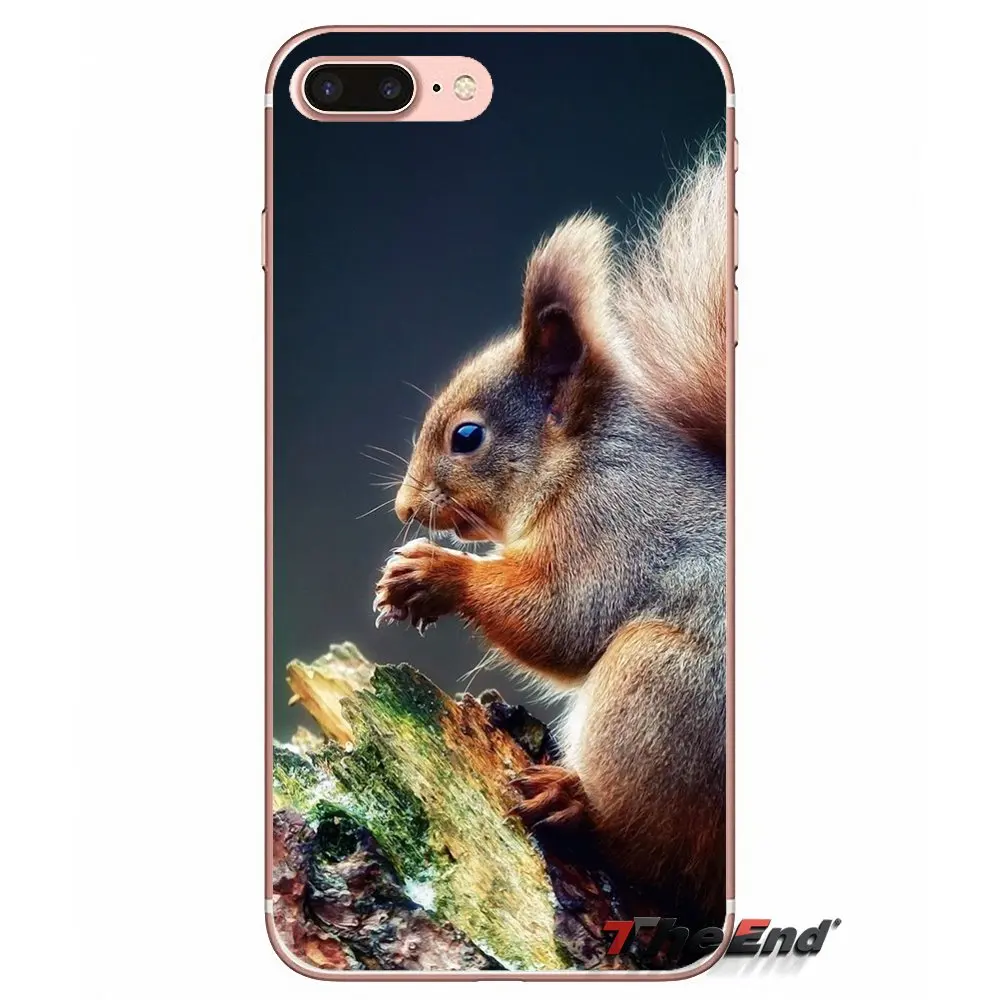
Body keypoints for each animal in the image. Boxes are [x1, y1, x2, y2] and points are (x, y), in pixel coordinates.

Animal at [373, 154, 728, 926]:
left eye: (467, 436)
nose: (405, 506)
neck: (582, 459)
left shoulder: (615, 525)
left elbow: (562, 619)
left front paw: (433, 574)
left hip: (660, 690)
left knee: (651, 849)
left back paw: (569, 802)